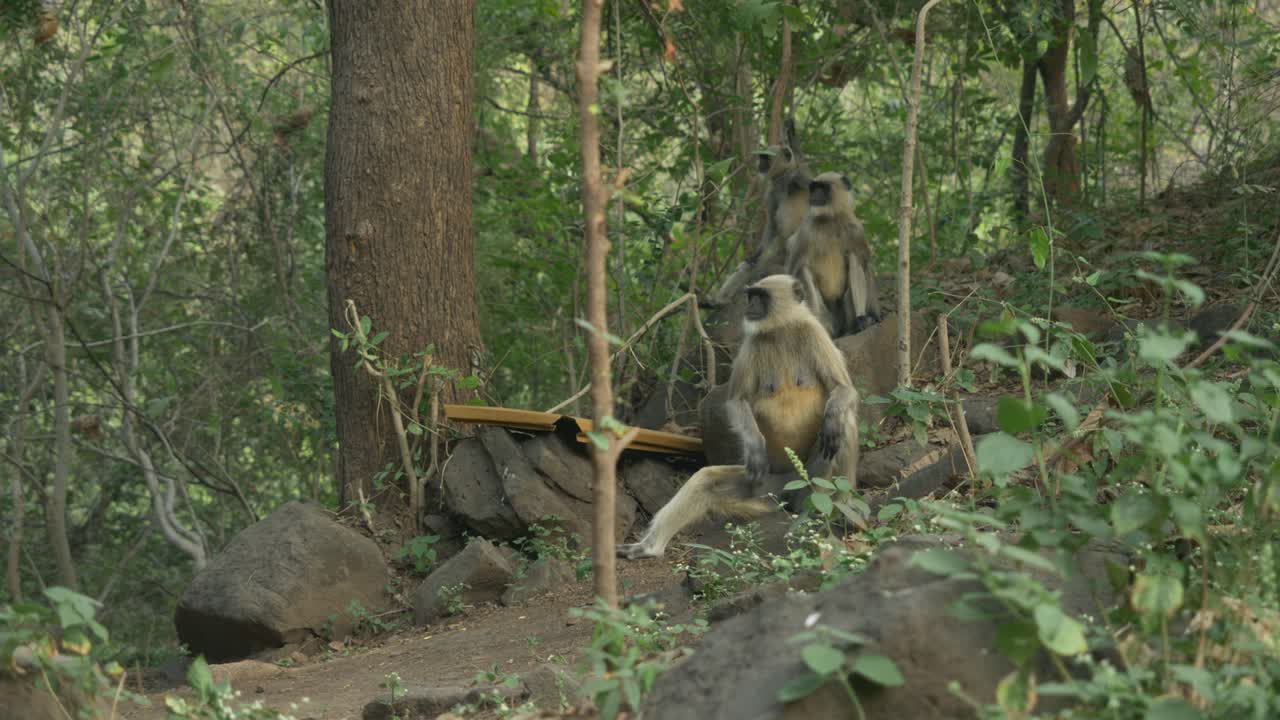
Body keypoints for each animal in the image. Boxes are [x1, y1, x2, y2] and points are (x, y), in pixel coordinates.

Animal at [618, 274, 860, 560]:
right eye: (751, 295)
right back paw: (648, 548)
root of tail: (789, 482)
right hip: (769, 486)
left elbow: (844, 389)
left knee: (843, 425)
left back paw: (840, 507)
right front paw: (755, 448)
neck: (780, 330)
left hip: (810, 481)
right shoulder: (751, 344)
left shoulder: (815, 334)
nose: (750, 306)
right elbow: (737, 401)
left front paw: (832, 419)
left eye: (760, 297)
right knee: (705, 480)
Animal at [785, 172, 880, 337]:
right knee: (802, 270)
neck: (829, 219)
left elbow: (865, 264)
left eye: (823, 188)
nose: (813, 195)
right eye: (813, 188)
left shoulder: (856, 230)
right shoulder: (805, 233)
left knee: (855, 259)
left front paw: (872, 316)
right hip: (826, 316)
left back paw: (859, 322)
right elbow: (791, 271)